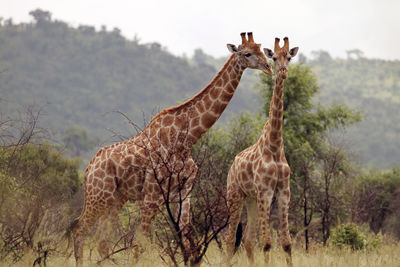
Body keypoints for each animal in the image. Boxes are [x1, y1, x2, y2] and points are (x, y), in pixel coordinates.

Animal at [70, 31, 274, 266]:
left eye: (261, 49)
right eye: (247, 53)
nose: (268, 67)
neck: (185, 140)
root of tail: (88, 169)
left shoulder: (184, 192)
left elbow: (186, 236)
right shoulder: (151, 195)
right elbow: (141, 243)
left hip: (116, 198)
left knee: (100, 240)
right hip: (99, 195)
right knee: (79, 230)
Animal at [225, 37, 296, 266]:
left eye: (289, 57)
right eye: (273, 57)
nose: (282, 71)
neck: (274, 145)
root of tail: (231, 166)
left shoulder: (284, 190)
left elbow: (286, 243)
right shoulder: (265, 190)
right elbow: (266, 243)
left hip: (251, 199)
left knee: (247, 240)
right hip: (235, 195)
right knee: (230, 239)